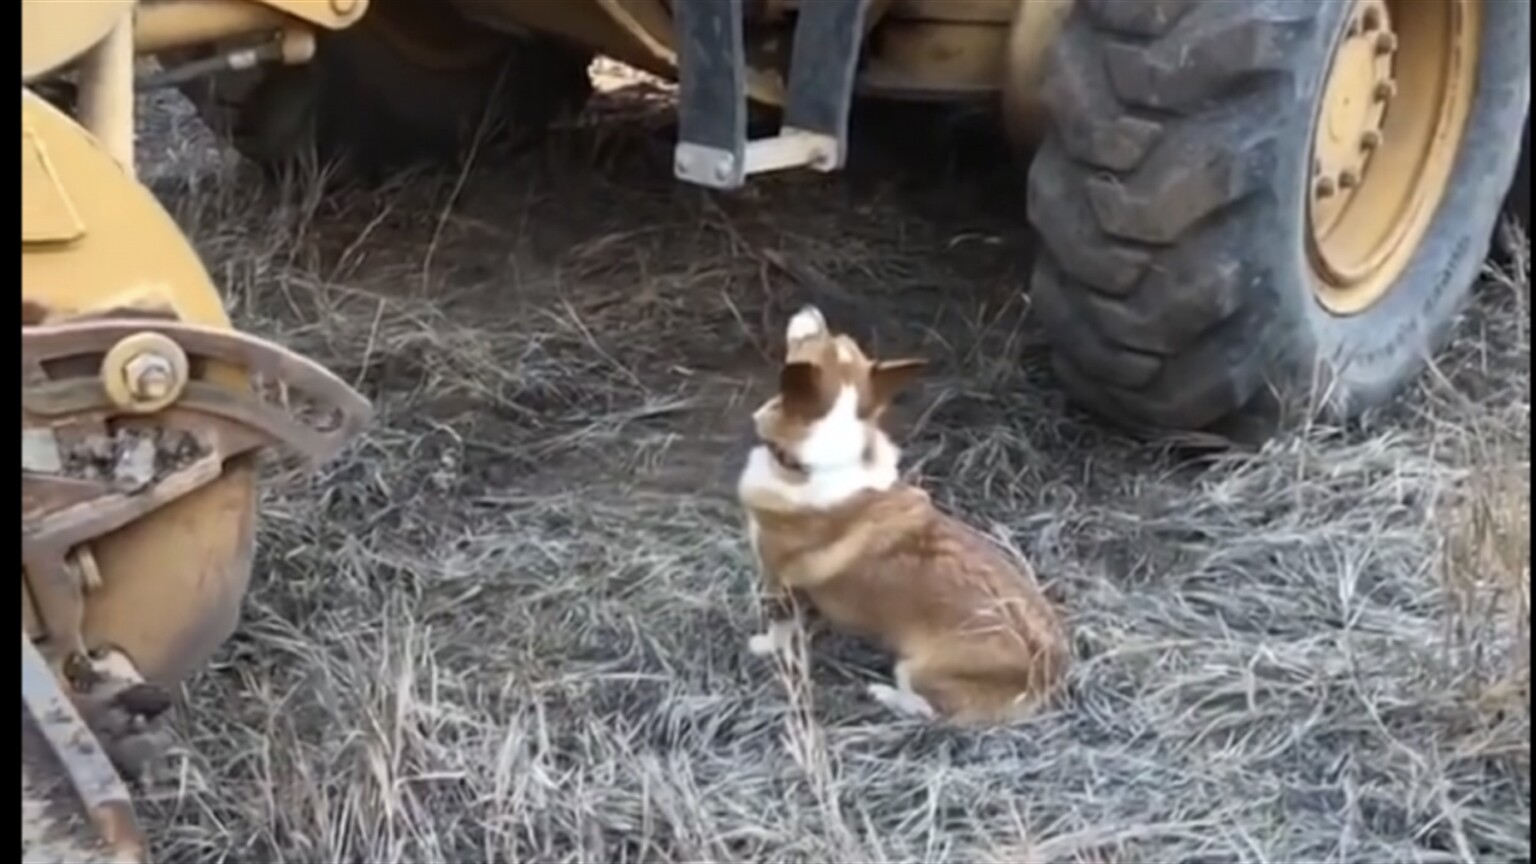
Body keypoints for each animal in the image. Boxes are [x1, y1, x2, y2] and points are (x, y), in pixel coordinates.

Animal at [740, 305, 1069, 722]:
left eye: (809, 340)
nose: (810, 309)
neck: (819, 462)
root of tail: (1047, 671)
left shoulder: (777, 579)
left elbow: (779, 626)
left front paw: (765, 646)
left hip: (916, 669)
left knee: (927, 710)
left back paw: (884, 694)